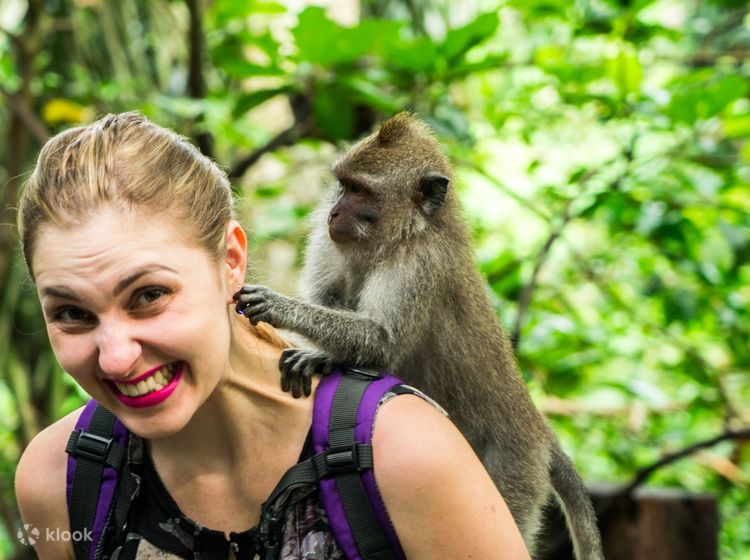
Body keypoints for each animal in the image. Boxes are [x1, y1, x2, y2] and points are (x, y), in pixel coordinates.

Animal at [235, 114, 604, 560]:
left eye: (360, 190)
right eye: (342, 185)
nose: (334, 212)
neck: (406, 234)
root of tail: (538, 430)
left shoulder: (419, 263)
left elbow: (381, 339)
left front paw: (279, 306)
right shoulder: (330, 241)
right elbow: (334, 301)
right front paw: (321, 356)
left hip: (513, 470)